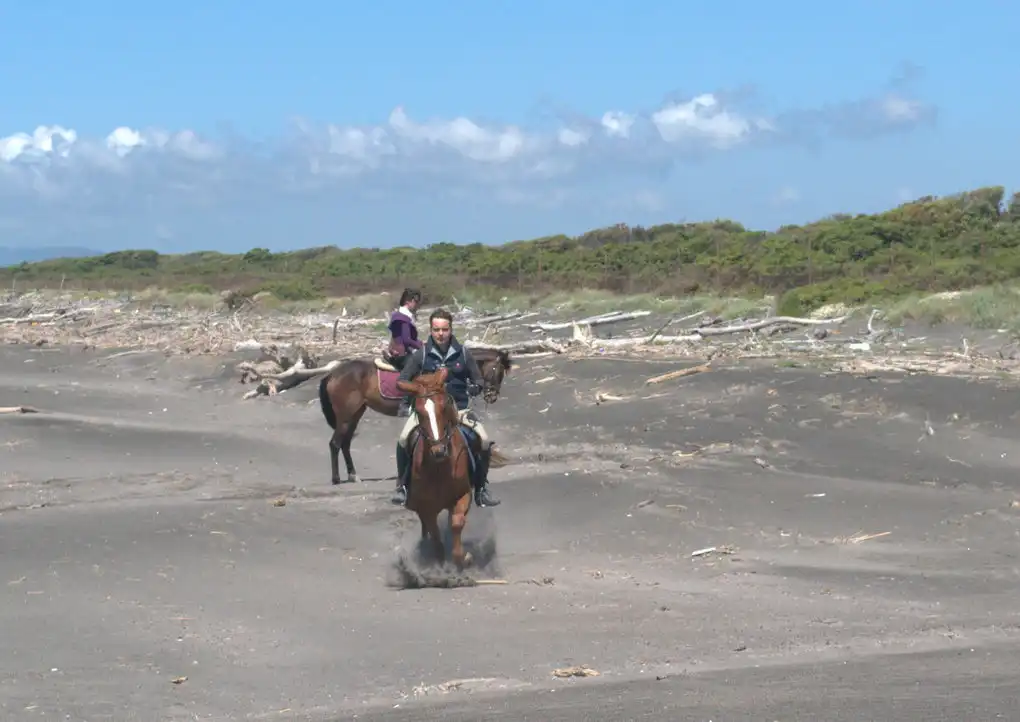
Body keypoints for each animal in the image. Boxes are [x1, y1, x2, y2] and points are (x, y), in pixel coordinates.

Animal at [317, 345, 512, 485]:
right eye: (497, 372)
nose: (492, 396)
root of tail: (332, 374)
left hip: (354, 415)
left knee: (345, 443)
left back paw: (353, 475)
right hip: (346, 416)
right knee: (335, 444)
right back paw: (336, 479)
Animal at [397, 367, 475, 568]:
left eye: (444, 406)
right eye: (418, 411)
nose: (439, 451)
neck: (440, 469)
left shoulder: (463, 495)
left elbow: (456, 523)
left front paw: (463, 558)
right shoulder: (426, 507)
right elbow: (435, 537)